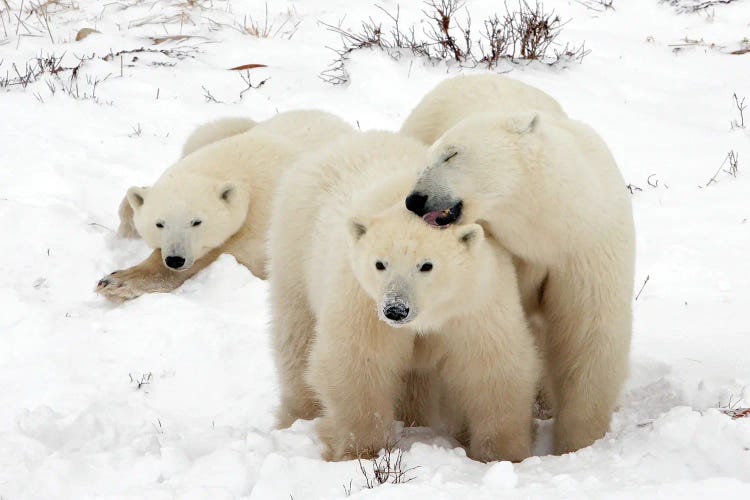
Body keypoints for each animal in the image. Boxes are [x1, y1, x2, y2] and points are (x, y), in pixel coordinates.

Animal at [96, 109, 352, 300]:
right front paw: (128, 228)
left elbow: (239, 255)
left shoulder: (267, 217)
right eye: (159, 224)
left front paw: (117, 282)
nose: (175, 259)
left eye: (196, 222)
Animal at [270, 131, 540, 462]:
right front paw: (361, 452)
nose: (396, 310)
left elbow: (492, 366)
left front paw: (503, 455)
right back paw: (298, 416)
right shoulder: (361, 300)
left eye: (426, 265)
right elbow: (358, 361)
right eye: (380, 263)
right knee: (296, 336)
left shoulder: (475, 302)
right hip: (295, 251)